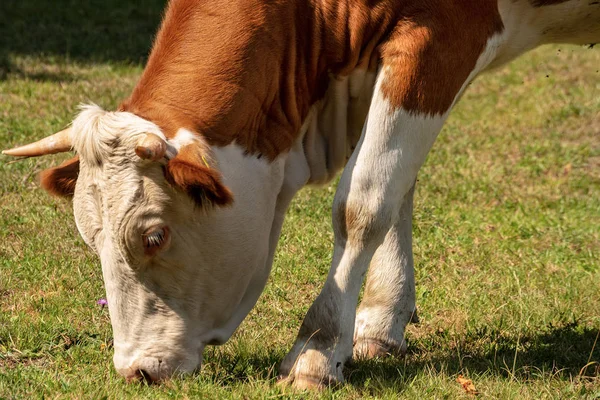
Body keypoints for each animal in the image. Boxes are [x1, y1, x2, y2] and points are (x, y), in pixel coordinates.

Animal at [2, 0, 596, 390]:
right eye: (89, 239)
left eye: (154, 235)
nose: (136, 370)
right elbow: (398, 186)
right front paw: (381, 321)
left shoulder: (439, 38)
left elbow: (365, 201)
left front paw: (317, 351)